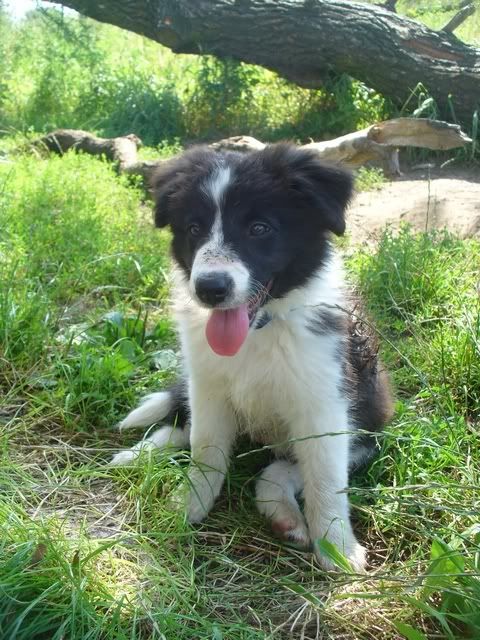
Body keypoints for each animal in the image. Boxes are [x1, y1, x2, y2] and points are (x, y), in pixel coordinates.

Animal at [111, 143, 393, 571]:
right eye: (193, 229)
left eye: (259, 228)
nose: (209, 289)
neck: (260, 331)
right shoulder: (207, 387)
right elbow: (206, 450)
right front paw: (187, 505)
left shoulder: (325, 404)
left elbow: (325, 479)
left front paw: (337, 548)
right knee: (182, 426)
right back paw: (136, 455)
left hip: (368, 419)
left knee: (279, 470)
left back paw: (285, 516)